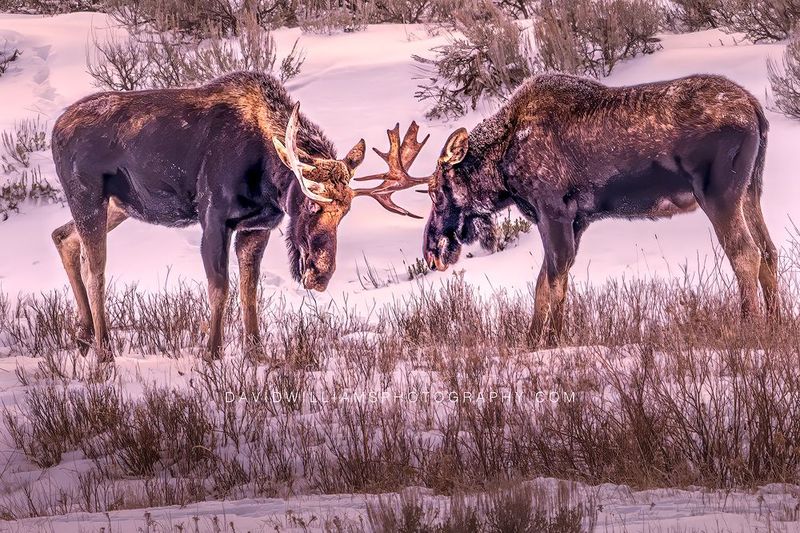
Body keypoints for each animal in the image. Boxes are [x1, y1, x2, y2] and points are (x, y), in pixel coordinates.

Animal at [50, 71, 428, 362]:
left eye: (345, 213)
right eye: (311, 203)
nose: (321, 274)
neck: (268, 180)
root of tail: (55, 128)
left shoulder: (257, 227)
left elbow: (250, 290)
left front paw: (256, 353)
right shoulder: (214, 219)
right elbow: (220, 287)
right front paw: (212, 353)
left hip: (118, 206)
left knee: (62, 237)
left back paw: (83, 336)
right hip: (87, 196)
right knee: (95, 269)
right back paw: (104, 351)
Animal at [380, 73, 779, 346]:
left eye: (435, 192)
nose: (431, 251)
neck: (502, 165)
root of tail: (756, 111)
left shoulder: (553, 211)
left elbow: (553, 282)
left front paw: (549, 341)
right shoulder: (578, 220)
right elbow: (548, 283)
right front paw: (537, 341)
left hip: (718, 194)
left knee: (746, 253)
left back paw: (749, 327)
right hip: (752, 190)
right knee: (769, 252)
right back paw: (777, 322)